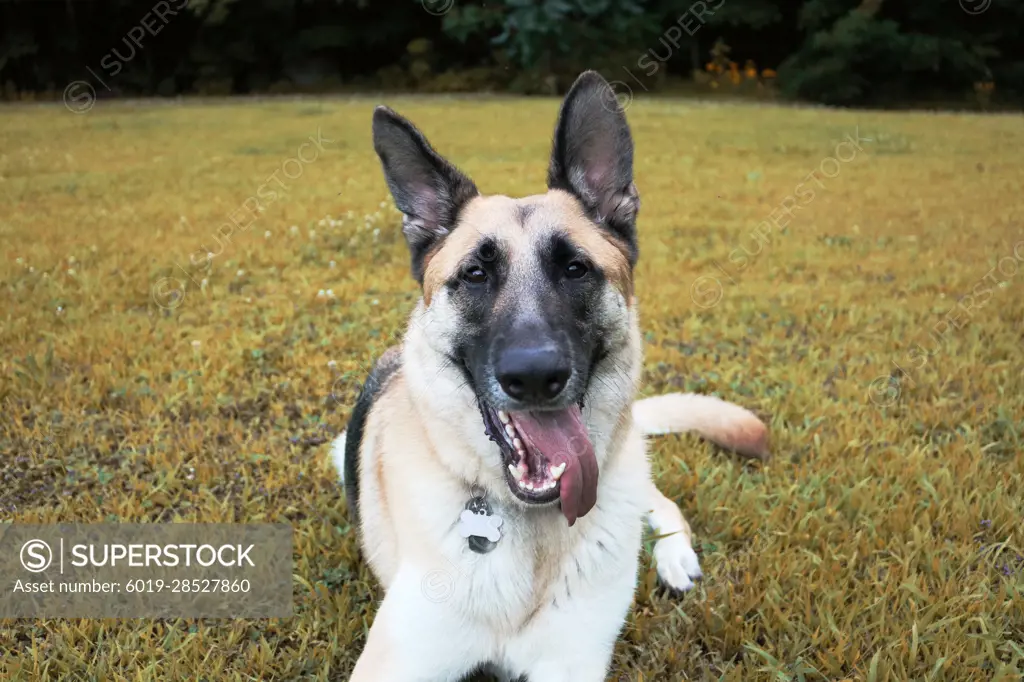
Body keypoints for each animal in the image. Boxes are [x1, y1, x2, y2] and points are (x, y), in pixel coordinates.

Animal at [333, 71, 770, 675]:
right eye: (475, 274)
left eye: (575, 269)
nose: (536, 377)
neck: (530, 523)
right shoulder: (398, 663)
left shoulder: (572, 663)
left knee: (658, 498)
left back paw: (674, 554)